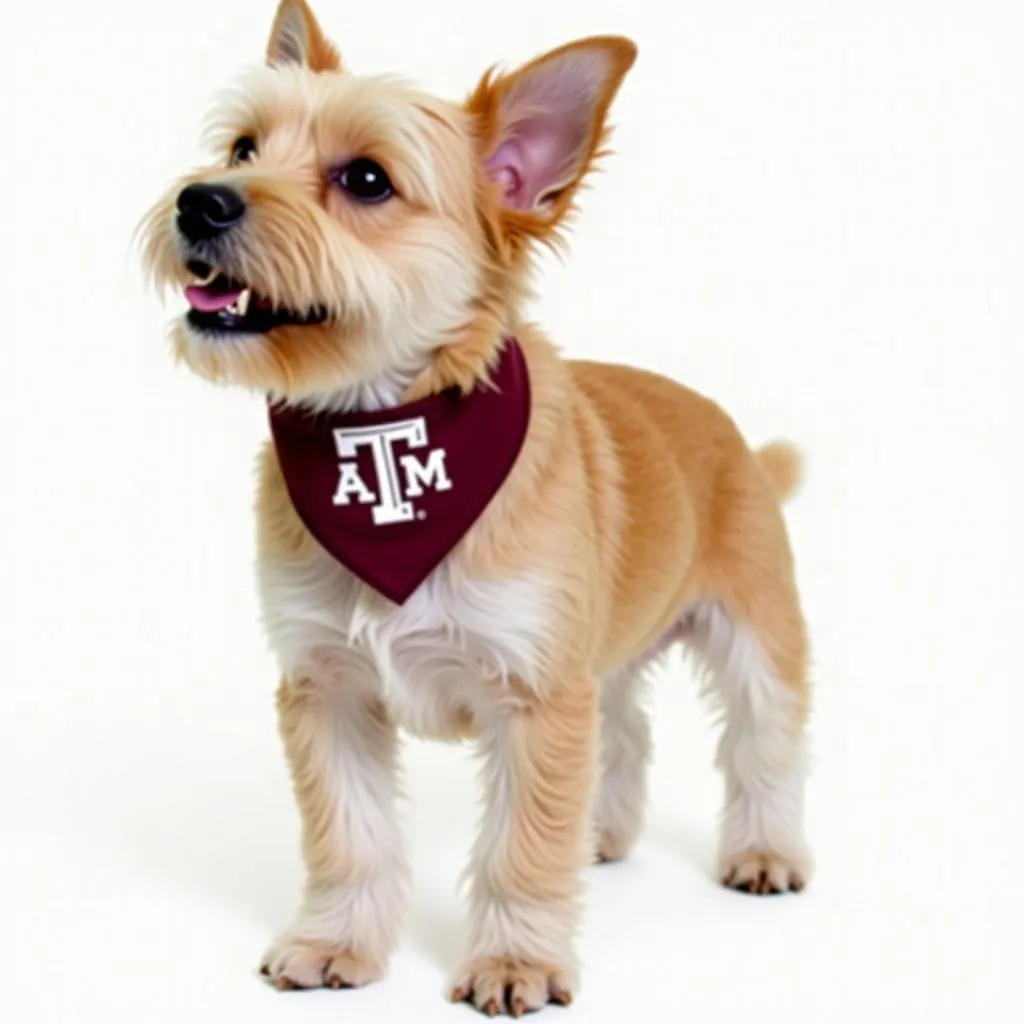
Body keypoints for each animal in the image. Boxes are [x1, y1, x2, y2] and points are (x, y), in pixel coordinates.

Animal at [140, 0, 811, 1007]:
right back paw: (600, 832)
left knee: (762, 745)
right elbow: (349, 836)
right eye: (243, 147)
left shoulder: (538, 698)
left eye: (366, 180)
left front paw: (514, 960)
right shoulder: (329, 688)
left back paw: (765, 849)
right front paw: (336, 940)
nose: (201, 199)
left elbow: (520, 849)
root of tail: (736, 440)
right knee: (624, 733)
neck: (382, 439)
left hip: (753, 633)